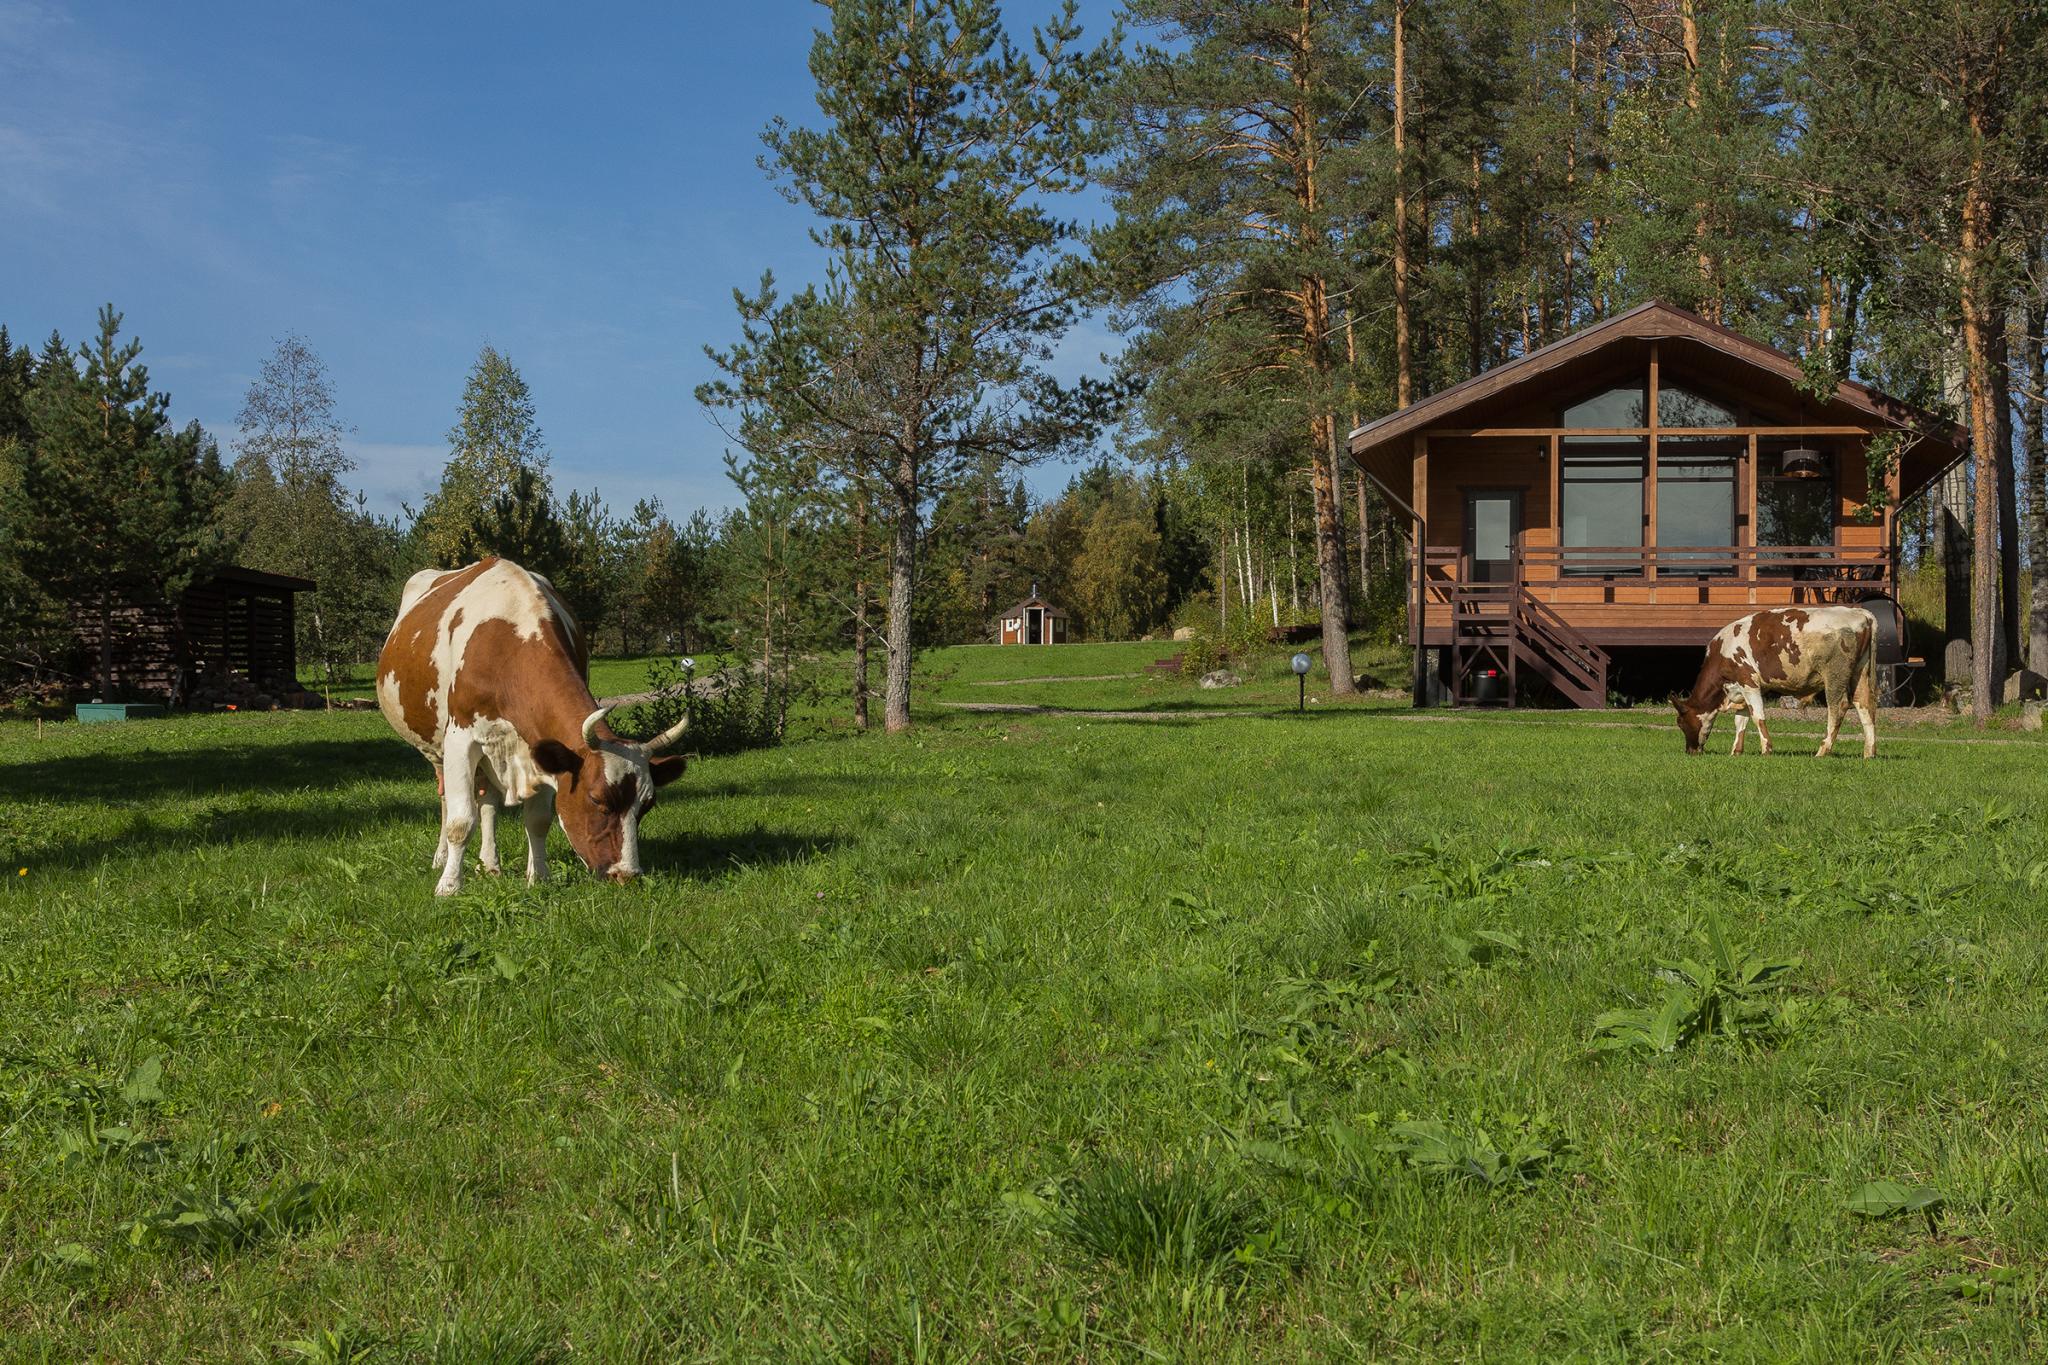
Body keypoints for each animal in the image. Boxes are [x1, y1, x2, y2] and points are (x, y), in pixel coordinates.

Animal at [372, 556, 684, 896]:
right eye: (597, 800)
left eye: (647, 806)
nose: (626, 875)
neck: (508, 635)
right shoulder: (460, 740)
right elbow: (460, 821)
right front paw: (449, 886)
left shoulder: (543, 747)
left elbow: (537, 820)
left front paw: (539, 877)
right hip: (436, 749)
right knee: (446, 800)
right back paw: (441, 859)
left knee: (488, 803)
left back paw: (490, 864)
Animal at [1671, 605, 1875, 757]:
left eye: (1680, 723)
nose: (1689, 751)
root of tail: (1859, 612)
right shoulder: (1743, 688)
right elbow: (1741, 719)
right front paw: (1736, 751)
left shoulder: (1748, 681)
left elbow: (1757, 716)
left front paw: (1766, 749)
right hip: (1860, 672)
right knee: (1864, 705)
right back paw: (1869, 752)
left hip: (1834, 675)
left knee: (1838, 707)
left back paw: (1823, 750)